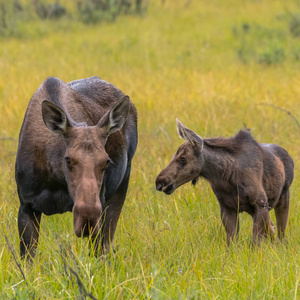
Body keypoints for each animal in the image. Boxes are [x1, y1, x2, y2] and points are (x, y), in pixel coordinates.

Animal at [15, 76, 138, 258]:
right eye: (68, 159)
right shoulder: (26, 205)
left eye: (106, 161)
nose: (87, 218)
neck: (55, 179)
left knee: (107, 244)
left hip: (123, 181)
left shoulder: (101, 201)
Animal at [156, 119, 294, 246]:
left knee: (281, 234)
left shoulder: (260, 204)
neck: (225, 177)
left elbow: (255, 243)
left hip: (283, 199)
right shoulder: (227, 208)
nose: (159, 182)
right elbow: (231, 243)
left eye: (183, 159)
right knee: (272, 228)